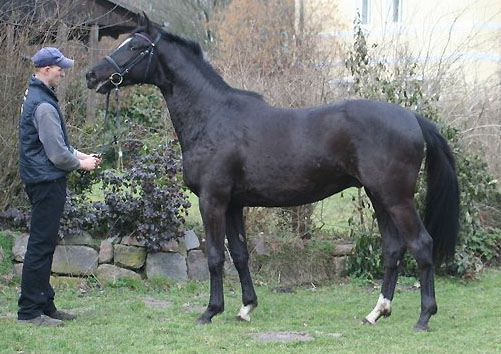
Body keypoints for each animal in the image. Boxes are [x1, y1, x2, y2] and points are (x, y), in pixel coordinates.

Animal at [85, 15, 458, 332]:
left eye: (136, 46)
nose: (92, 75)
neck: (212, 117)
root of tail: (412, 118)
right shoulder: (233, 204)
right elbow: (239, 254)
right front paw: (245, 308)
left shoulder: (212, 200)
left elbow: (215, 257)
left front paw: (210, 311)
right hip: (378, 196)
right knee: (393, 250)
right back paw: (376, 312)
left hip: (396, 198)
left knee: (421, 244)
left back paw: (424, 317)